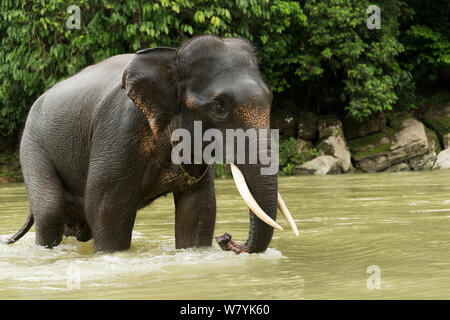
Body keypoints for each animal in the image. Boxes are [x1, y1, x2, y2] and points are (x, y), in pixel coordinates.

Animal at [5, 35, 298, 254]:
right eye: (219, 106)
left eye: (270, 99)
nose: (227, 239)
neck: (172, 57)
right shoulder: (119, 129)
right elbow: (106, 207)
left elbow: (199, 208)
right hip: (31, 147)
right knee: (50, 210)